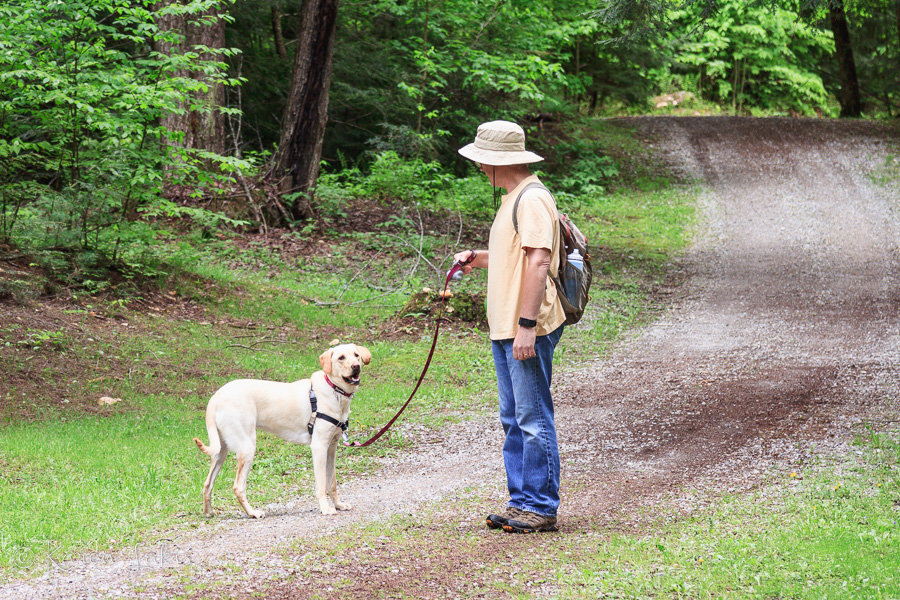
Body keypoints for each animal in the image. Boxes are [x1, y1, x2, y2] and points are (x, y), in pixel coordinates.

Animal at [192, 344, 370, 516]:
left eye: (356, 355)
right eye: (341, 358)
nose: (356, 366)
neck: (335, 391)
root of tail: (216, 397)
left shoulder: (331, 448)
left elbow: (332, 482)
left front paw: (339, 505)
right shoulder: (319, 447)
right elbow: (321, 484)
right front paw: (326, 508)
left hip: (221, 451)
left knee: (208, 483)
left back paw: (208, 512)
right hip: (247, 448)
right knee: (238, 487)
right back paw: (252, 513)